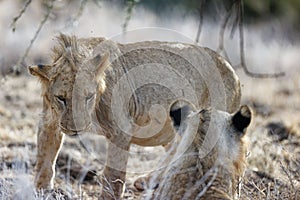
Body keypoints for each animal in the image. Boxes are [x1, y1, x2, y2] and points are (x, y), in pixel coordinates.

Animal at [28, 33, 241, 198]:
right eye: (61, 98)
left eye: (88, 96)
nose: (76, 128)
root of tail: (231, 69)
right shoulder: (49, 121)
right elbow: (45, 160)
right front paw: (42, 191)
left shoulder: (120, 129)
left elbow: (113, 174)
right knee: (175, 148)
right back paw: (150, 181)